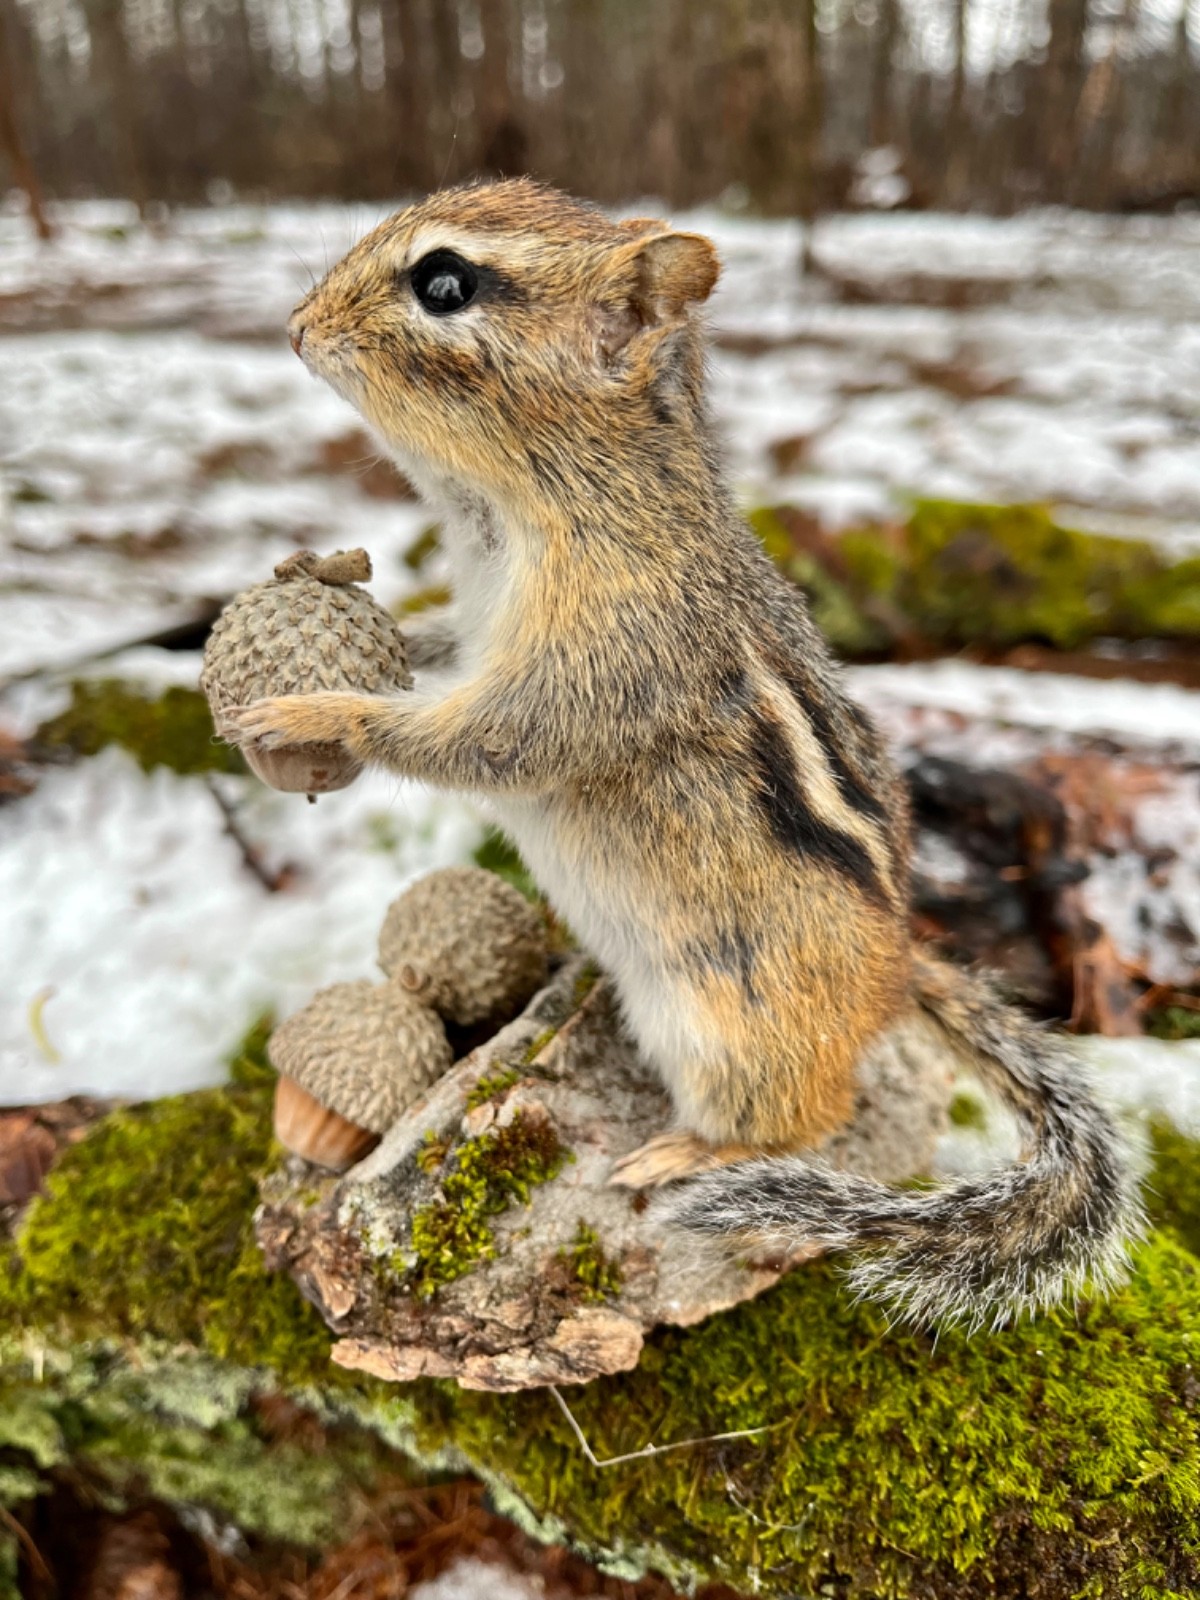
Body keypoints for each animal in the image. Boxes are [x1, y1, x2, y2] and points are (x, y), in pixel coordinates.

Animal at [223, 178, 1142, 1328]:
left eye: (444, 284)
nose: (295, 327)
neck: (533, 502)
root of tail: (899, 970)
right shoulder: (485, 627)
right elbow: (435, 652)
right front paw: (326, 581)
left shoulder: (606, 658)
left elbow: (493, 743)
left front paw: (315, 712)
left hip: (729, 1031)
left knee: (806, 1116)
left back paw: (687, 1155)